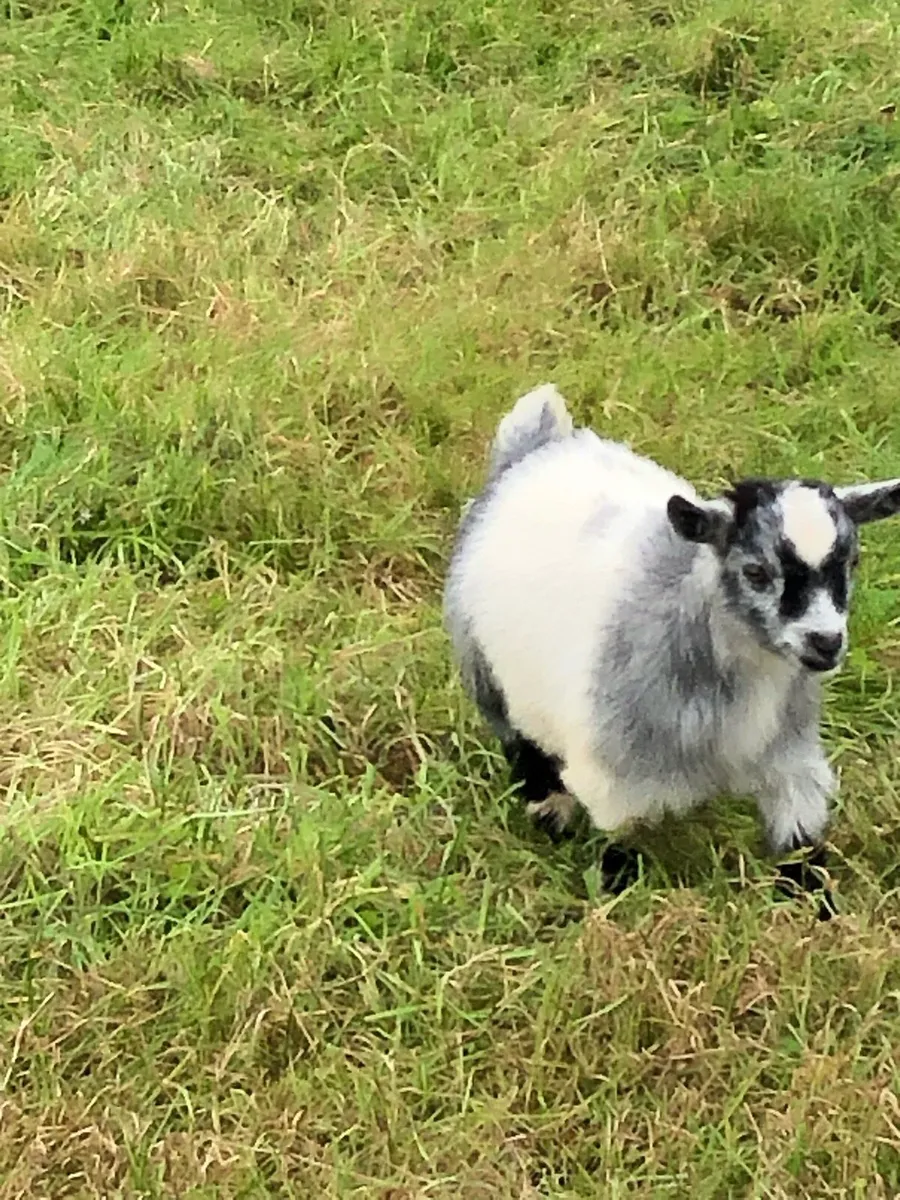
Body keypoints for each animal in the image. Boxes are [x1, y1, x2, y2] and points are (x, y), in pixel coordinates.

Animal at [445, 383, 900, 898]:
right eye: (756, 572)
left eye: (851, 562)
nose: (825, 641)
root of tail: (535, 450)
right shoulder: (616, 772)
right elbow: (622, 839)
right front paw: (619, 890)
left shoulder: (789, 761)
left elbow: (800, 842)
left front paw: (814, 901)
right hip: (487, 672)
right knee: (523, 745)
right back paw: (551, 815)